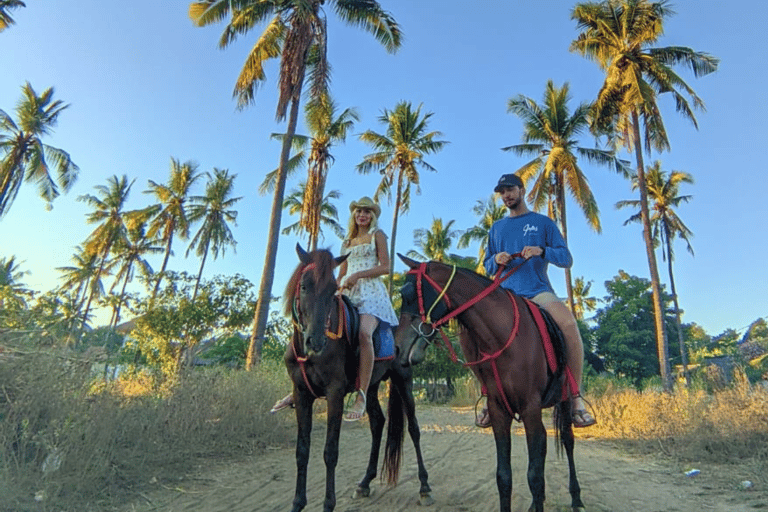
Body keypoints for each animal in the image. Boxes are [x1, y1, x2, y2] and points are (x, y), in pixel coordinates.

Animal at [280, 246, 432, 510]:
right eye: (304, 286)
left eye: (332, 290)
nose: (316, 341)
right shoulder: (301, 394)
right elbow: (302, 451)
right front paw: (298, 503)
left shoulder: (335, 393)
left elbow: (330, 452)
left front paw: (328, 504)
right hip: (369, 386)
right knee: (378, 423)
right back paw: (365, 482)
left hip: (403, 379)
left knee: (413, 428)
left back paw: (424, 487)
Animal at [392, 255, 584, 512]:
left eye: (408, 293)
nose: (397, 349)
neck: (503, 339)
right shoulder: (498, 410)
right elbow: (504, 477)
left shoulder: (531, 410)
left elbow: (535, 476)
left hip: (564, 398)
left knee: (568, 440)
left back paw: (576, 498)